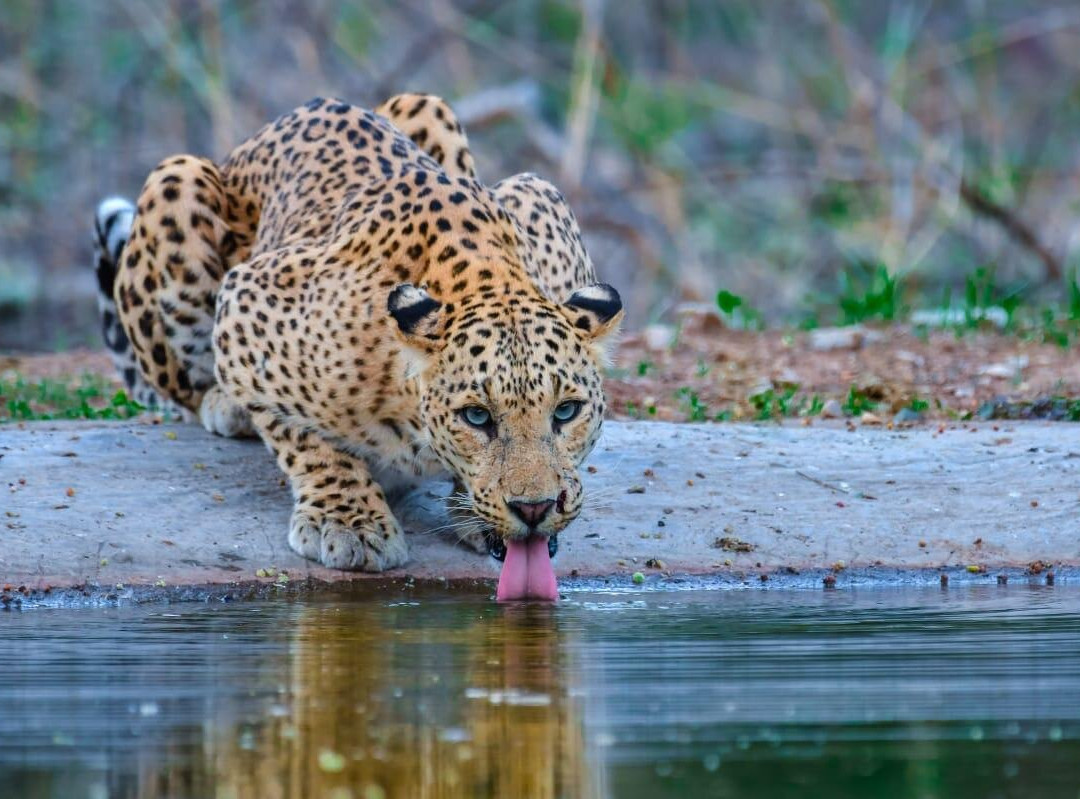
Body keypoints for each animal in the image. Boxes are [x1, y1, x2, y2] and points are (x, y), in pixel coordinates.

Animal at [93, 94, 622, 584]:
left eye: (566, 411)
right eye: (476, 417)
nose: (534, 509)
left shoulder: (540, 194)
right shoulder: (248, 299)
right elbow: (301, 433)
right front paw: (349, 522)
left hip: (426, 105)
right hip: (175, 179)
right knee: (190, 387)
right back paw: (224, 405)